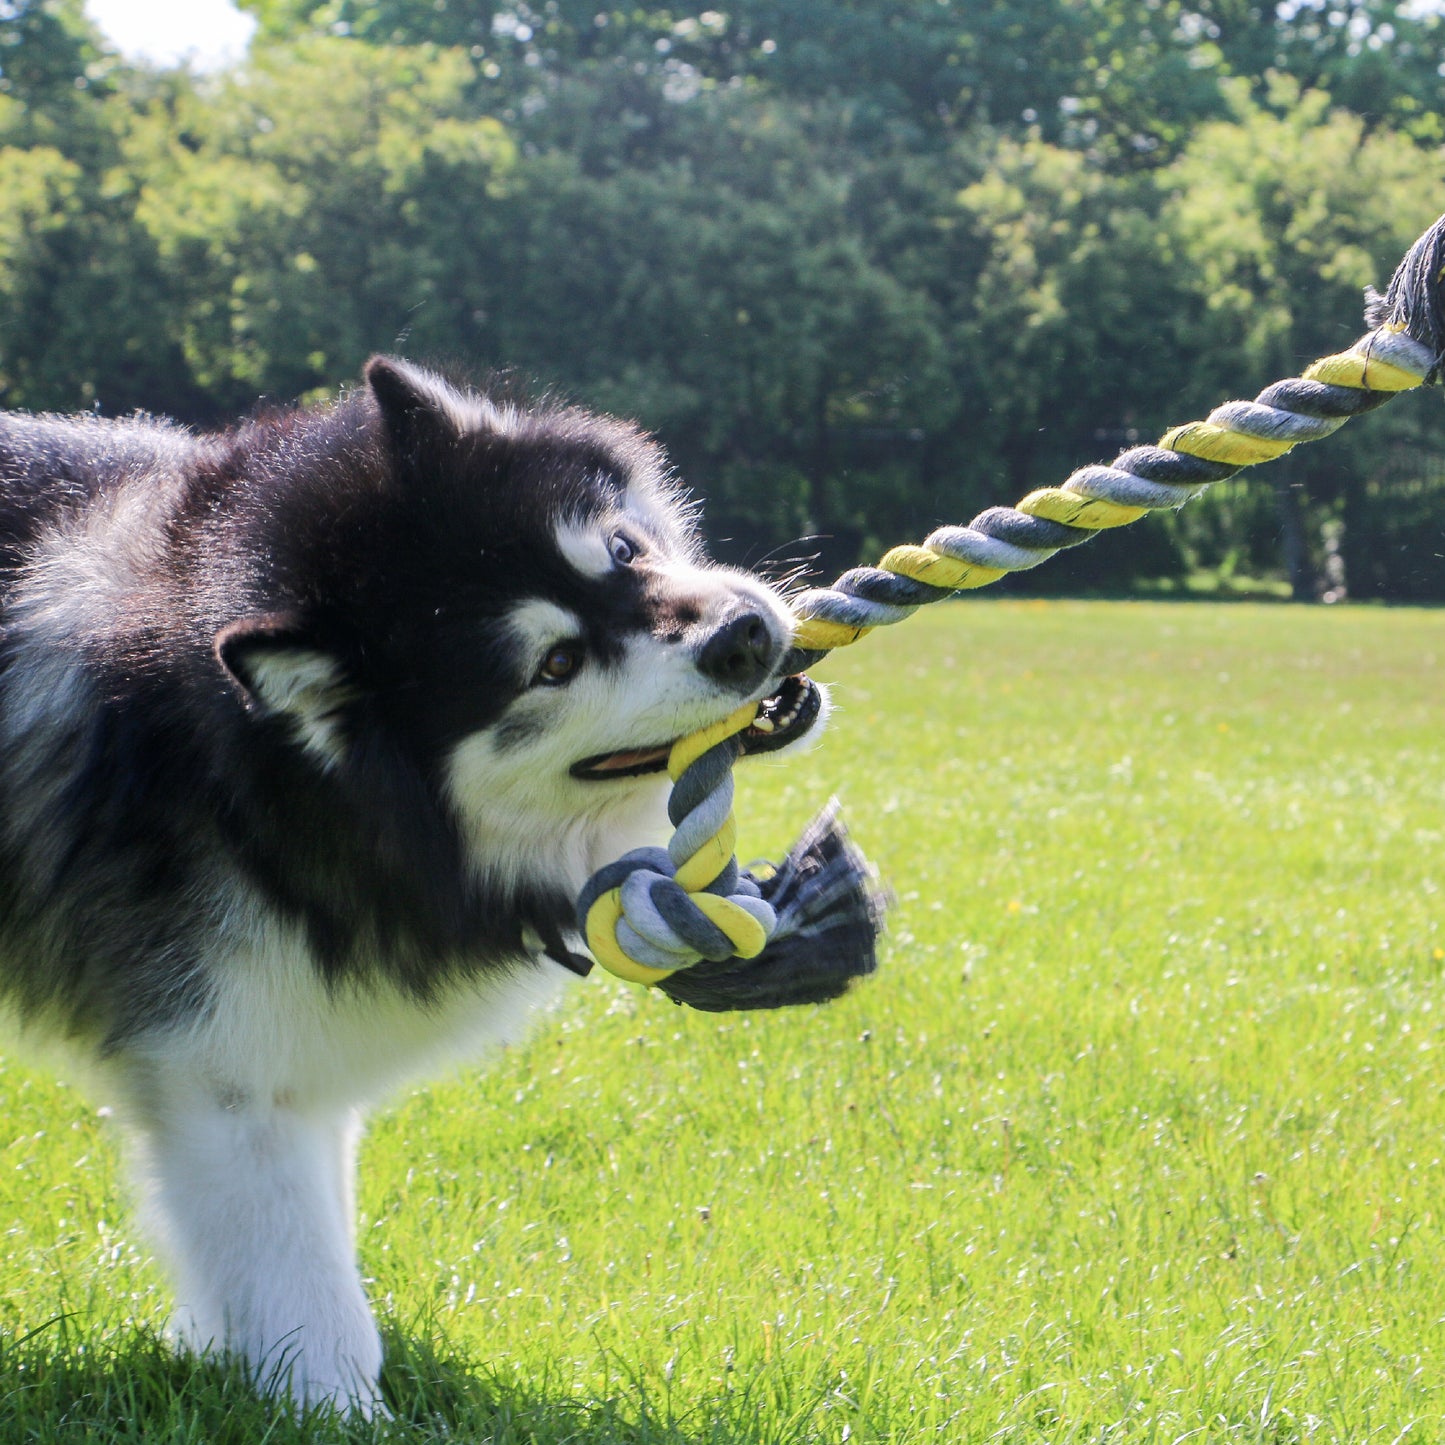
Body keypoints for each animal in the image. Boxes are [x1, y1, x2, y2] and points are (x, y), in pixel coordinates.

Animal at [0, 358, 832, 1410]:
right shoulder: (220, 1074)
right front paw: (335, 1412)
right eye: (554, 662)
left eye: (619, 546)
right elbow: (312, 1294)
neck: (255, 771)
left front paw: (220, 1351)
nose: (744, 635)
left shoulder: (287, 1056)